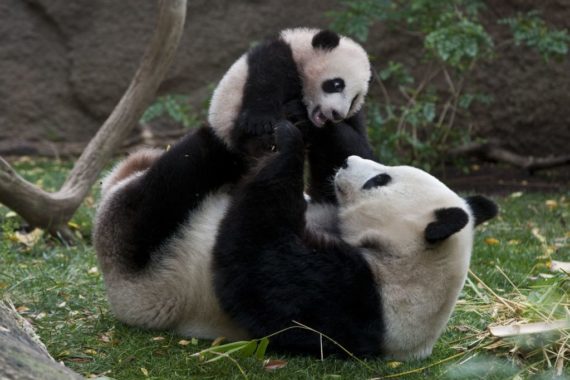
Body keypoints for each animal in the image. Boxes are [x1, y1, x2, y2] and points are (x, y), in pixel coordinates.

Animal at [92, 119, 492, 360]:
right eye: (385, 172)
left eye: (380, 181)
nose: (349, 163)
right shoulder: (330, 215)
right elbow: (321, 188)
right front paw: (329, 124)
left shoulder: (353, 299)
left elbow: (256, 268)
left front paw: (288, 141)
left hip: (141, 262)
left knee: (164, 192)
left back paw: (210, 140)